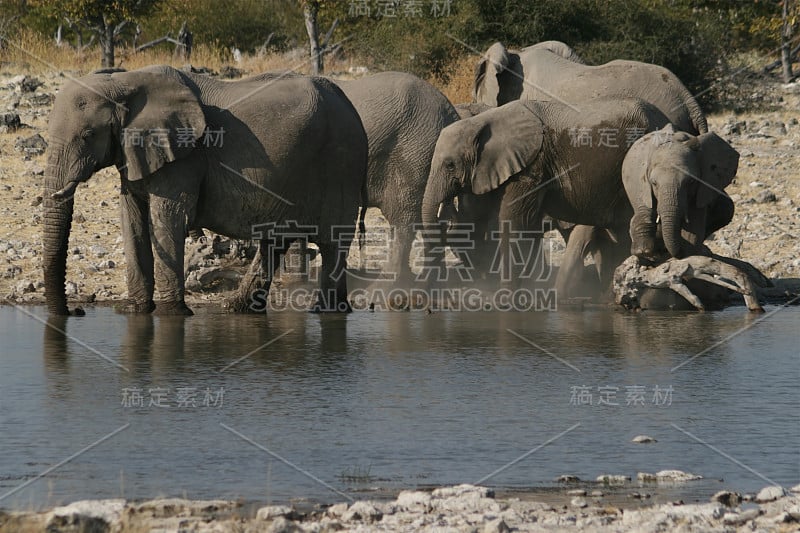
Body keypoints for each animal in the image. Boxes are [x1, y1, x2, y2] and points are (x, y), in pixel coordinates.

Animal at [42, 66, 368, 316]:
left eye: (88, 135)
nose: (77, 310)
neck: (125, 81)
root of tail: (347, 101)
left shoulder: (185, 157)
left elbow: (169, 218)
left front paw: (172, 313)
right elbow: (131, 219)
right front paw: (134, 311)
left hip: (341, 163)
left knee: (331, 242)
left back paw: (326, 311)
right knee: (275, 241)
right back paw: (237, 308)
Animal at [620, 122, 740, 260]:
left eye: (691, 182)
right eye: (654, 183)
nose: (676, 254)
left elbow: (694, 222)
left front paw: (688, 251)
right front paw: (648, 254)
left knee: (727, 207)